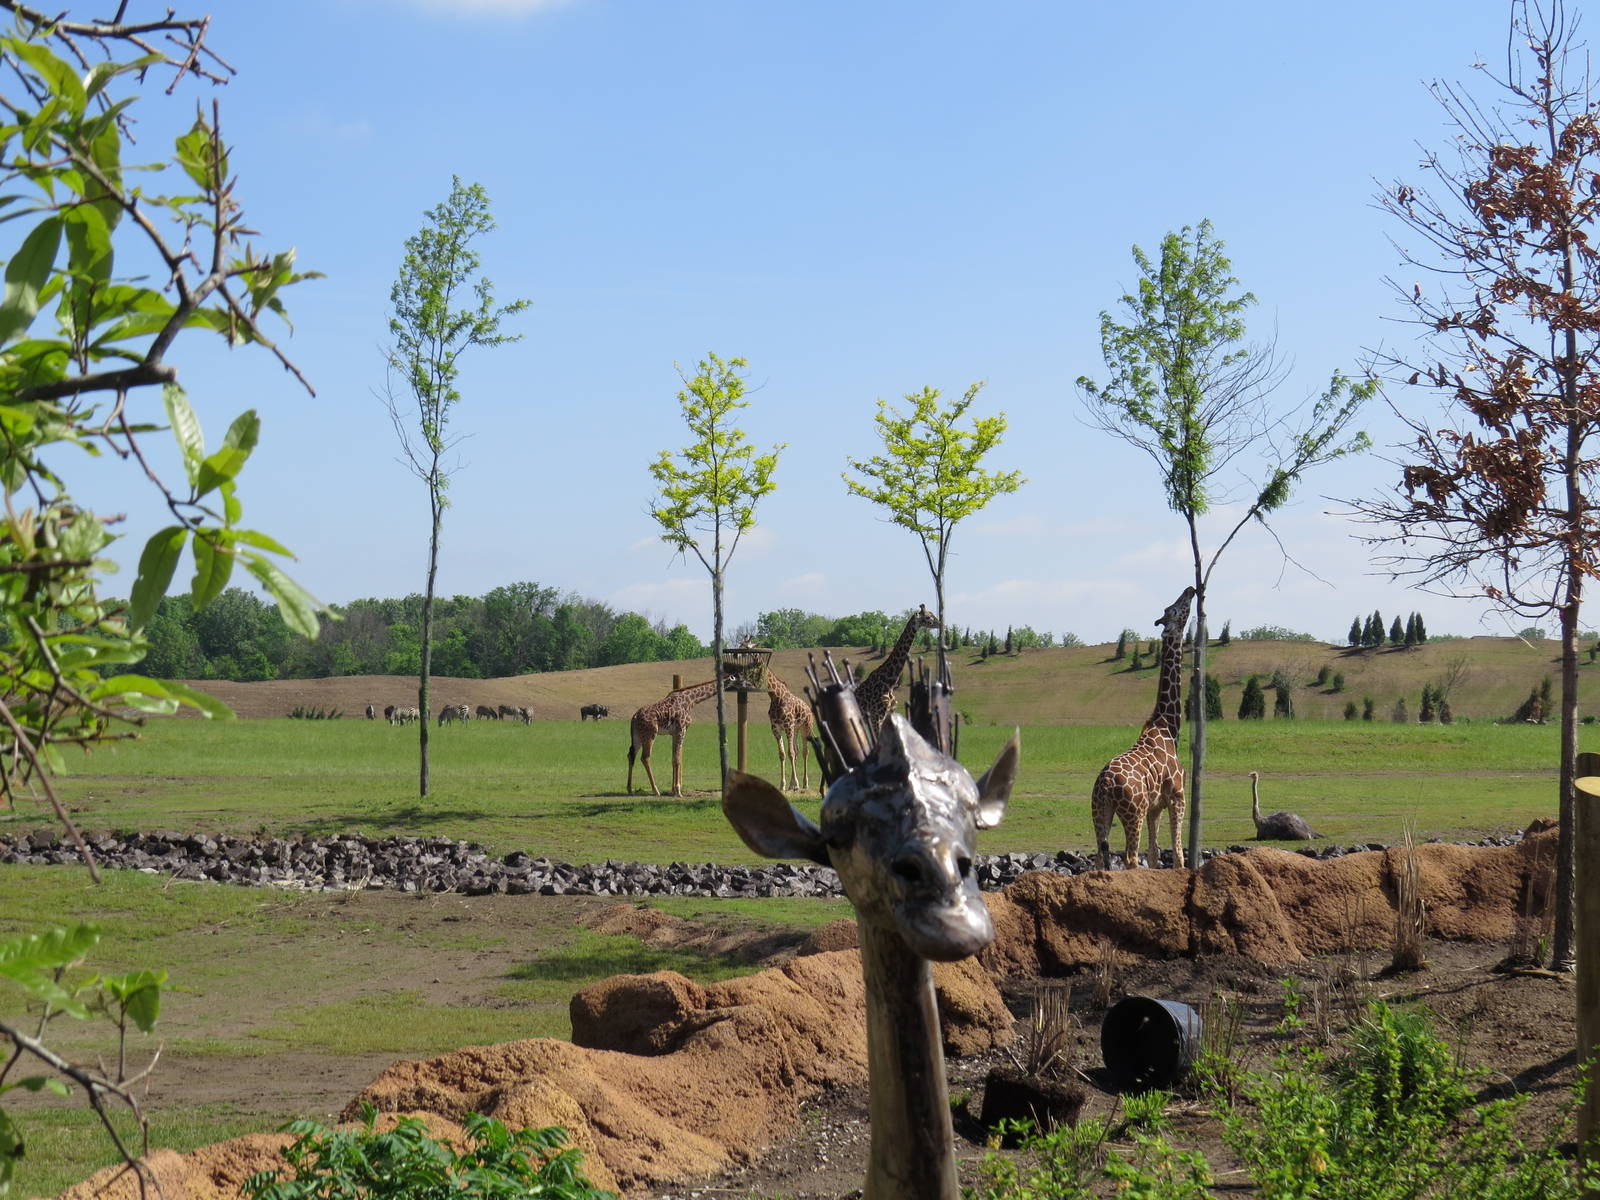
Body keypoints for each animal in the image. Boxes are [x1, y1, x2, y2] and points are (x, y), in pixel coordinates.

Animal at [1091, 585, 1196, 869]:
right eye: (1174, 609)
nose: (1191, 589)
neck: (1169, 728)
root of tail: (1105, 784)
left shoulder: (1155, 806)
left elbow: (1154, 853)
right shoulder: (1177, 796)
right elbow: (1178, 853)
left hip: (1100, 812)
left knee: (1101, 856)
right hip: (1132, 812)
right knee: (1129, 856)